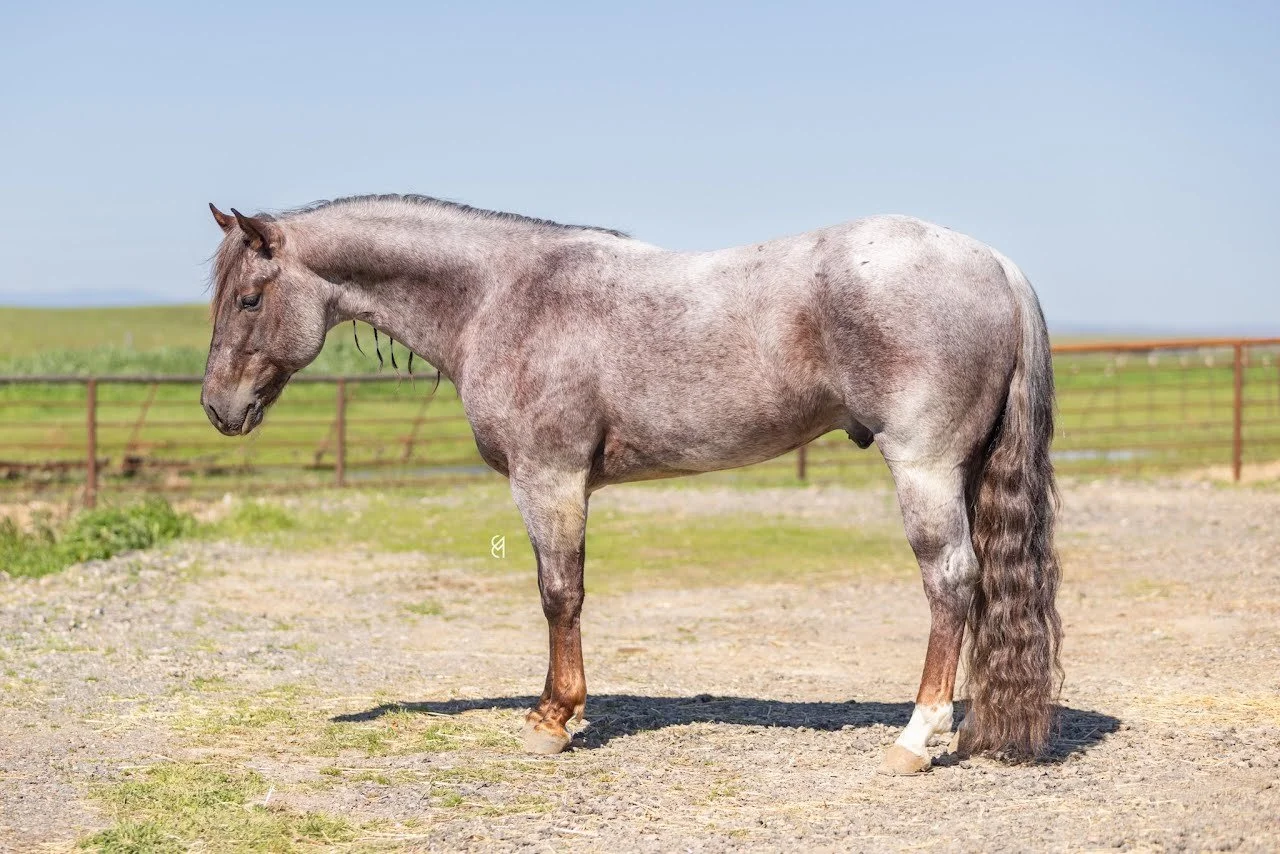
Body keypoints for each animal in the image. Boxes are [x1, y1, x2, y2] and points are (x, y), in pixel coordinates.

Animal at [200, 194, 1061, 774]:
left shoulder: (548, 480)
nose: (217, 407)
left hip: (924, 468)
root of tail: (997, 264)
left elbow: (560, 594)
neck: (502, 296)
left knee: (951, 583)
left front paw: (552, 720)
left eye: (249, 297)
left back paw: (915, 739)